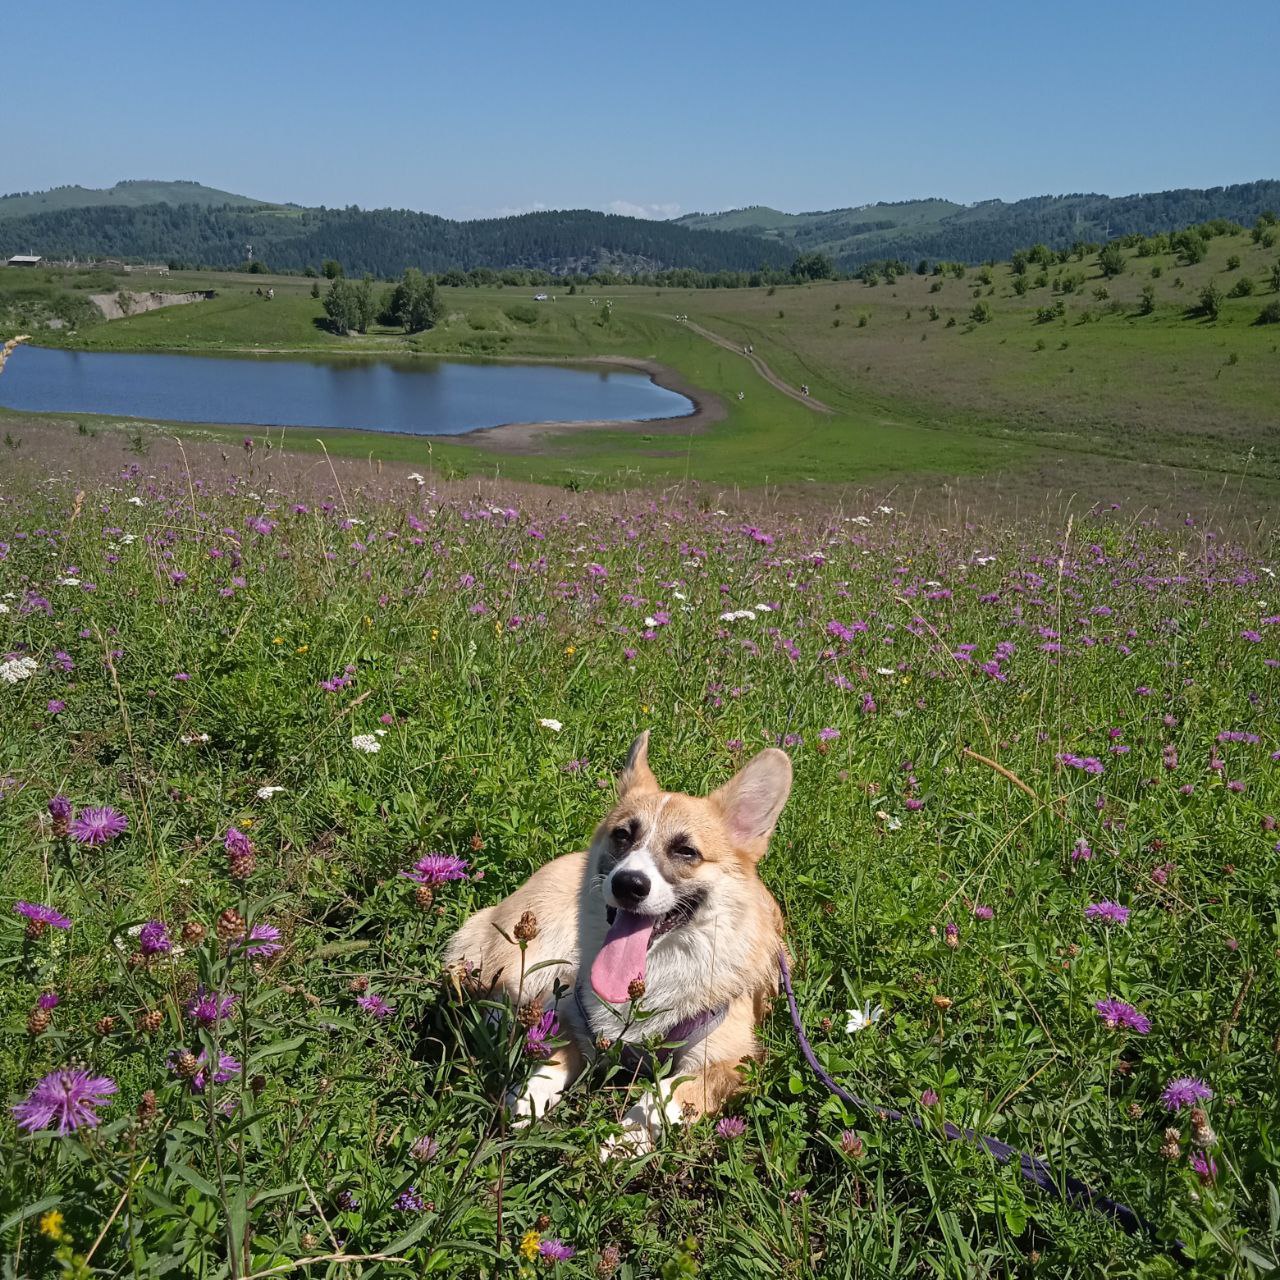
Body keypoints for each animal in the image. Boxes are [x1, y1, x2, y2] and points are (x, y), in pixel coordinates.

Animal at [445, 732, 793, 1152]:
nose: (628, 884)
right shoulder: (579, 1026)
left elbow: (663, 1097)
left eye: (686, 851)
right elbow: (552, 1060)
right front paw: (527, 1100)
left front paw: (622, 1144)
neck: (655, 971)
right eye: (623, 835)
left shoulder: (724, 1063)